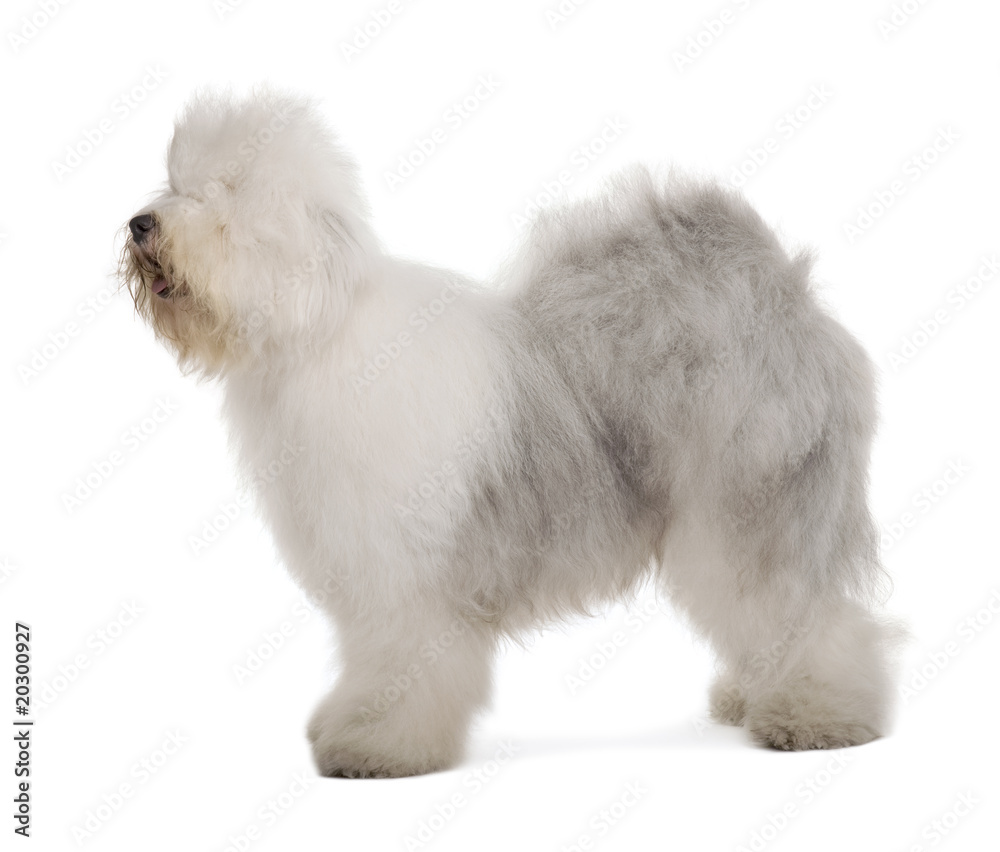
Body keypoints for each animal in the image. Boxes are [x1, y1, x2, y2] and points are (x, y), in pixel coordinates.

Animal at [119, 90, 900, 776]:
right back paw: (748, 694)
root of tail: (782, 288)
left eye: (220, 195)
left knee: (804, 611)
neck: (319, 324)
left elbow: (402, 661)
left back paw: (816, 715)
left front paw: (378, 746)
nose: (139, 224)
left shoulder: (405, 573)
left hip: (753, 503)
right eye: (175, 182)